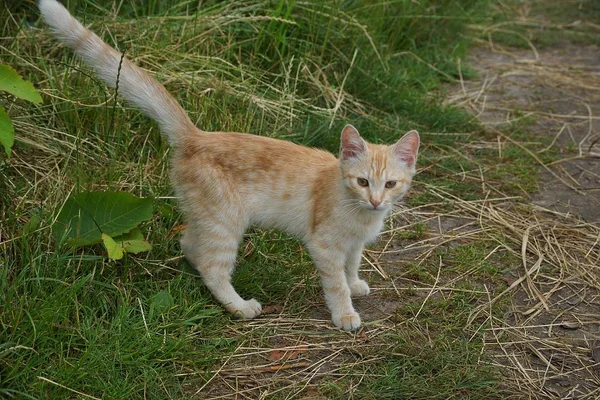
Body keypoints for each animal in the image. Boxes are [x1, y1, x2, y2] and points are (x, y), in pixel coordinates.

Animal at [39, 0, 420, 332]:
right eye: (362, 181)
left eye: (390, 184)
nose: (376, 201)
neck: (359, 214)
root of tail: (197, 135)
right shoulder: (324, 245)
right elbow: (335, 282)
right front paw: (345, 313)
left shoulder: (354, 245)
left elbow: (352, 265)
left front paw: (355, 283)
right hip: (226, 221)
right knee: (212, 266)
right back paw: (239, 306)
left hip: (206, 216)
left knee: (191, 245)